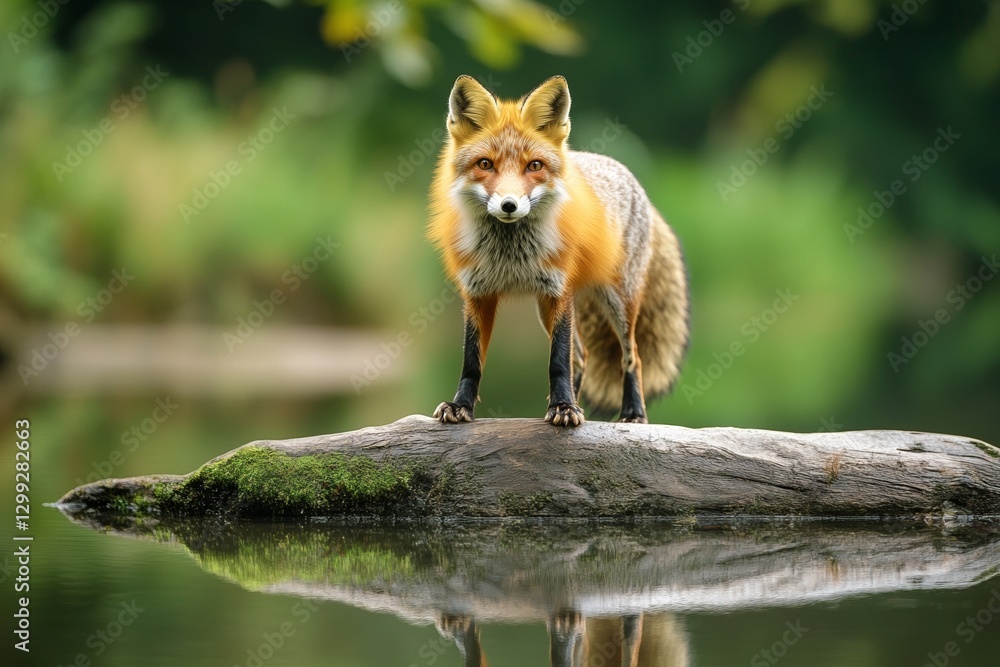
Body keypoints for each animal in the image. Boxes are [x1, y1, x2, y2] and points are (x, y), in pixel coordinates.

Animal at [428, 75, 689, 427]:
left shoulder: (558, 290)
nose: (509, 205)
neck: (510, 255)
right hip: (545, 307)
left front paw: (564, 407)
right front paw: (461, 406)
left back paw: (632, 413)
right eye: (485, 164)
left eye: (534, 166)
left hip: (619, 299)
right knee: (582, 357)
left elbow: (557, 361)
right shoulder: (477, 294)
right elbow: (472, 361)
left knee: (631, 355)